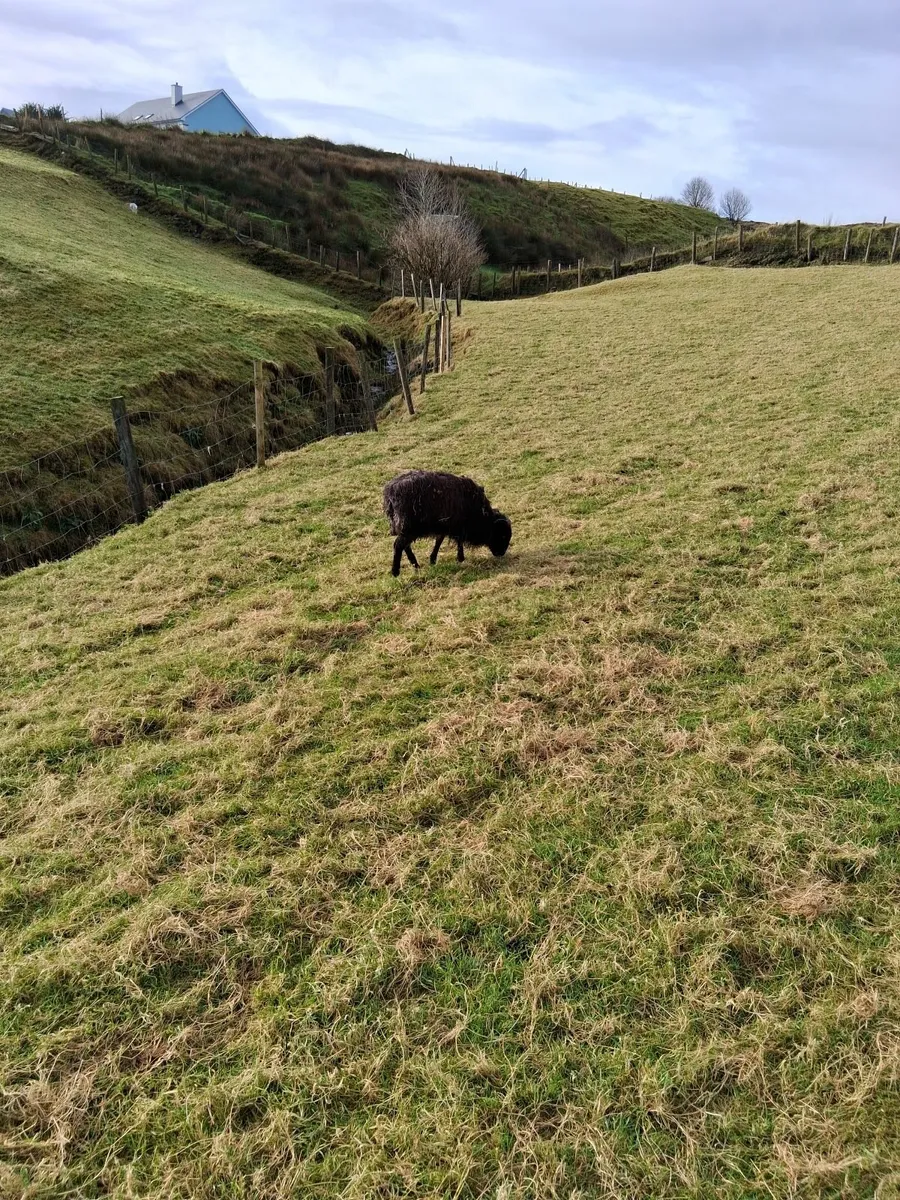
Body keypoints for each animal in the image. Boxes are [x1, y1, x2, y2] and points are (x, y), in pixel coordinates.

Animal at [383, 470, 512, 576]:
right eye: (502, 535)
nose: (501, 553)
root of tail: (390, 493)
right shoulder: (457, 525)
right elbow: (458, 541)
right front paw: (460, 558)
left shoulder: (445, 526)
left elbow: (439, 541)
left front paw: (433, 559)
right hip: (408, 527)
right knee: (398, 545)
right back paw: (395, 571)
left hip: (407, 529)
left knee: (405, 546)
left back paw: (416, 565)